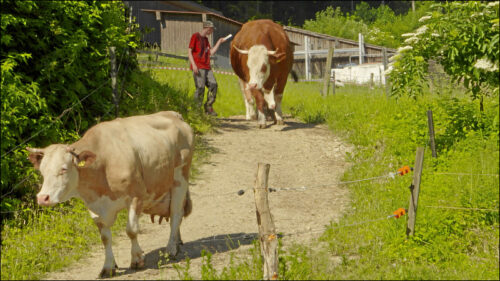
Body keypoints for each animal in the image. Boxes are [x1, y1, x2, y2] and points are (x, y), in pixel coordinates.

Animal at [25, 110, 193, 276]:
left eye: (63, 169)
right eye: (42, 170)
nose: (42, 198)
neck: (103, 163)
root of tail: (173, 114)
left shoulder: (136, 196)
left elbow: (131, 230)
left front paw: (137, 259)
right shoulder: (94, 206)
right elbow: (105, 238)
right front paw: (108, 267)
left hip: (180, 177)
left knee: (175, 213)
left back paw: (171, 248)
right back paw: (177, 241)